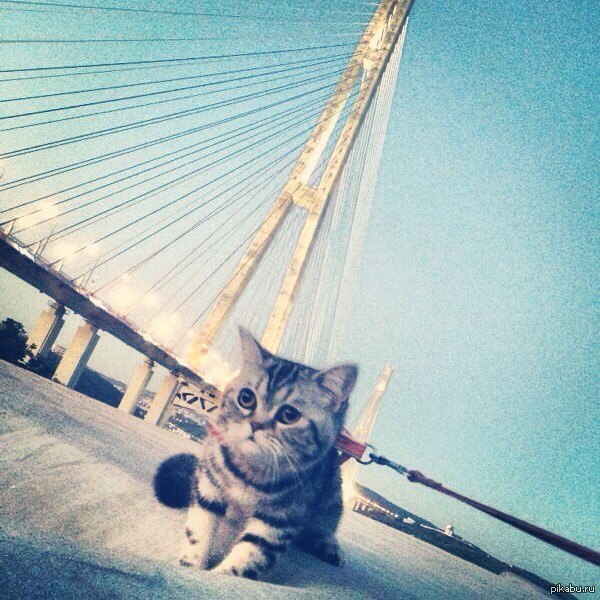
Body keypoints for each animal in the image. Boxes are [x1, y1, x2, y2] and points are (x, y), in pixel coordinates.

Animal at [154, 330, 356, 580]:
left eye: (289, 415)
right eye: (246, 398)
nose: (255, 424)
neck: (250, 474)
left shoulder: (280, 520)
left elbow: (249, 556)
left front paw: (223, 574)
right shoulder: (209, 487)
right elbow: (199, 532)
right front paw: (190, 564)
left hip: (331, 497)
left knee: (321, 528)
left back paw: (329, 546)